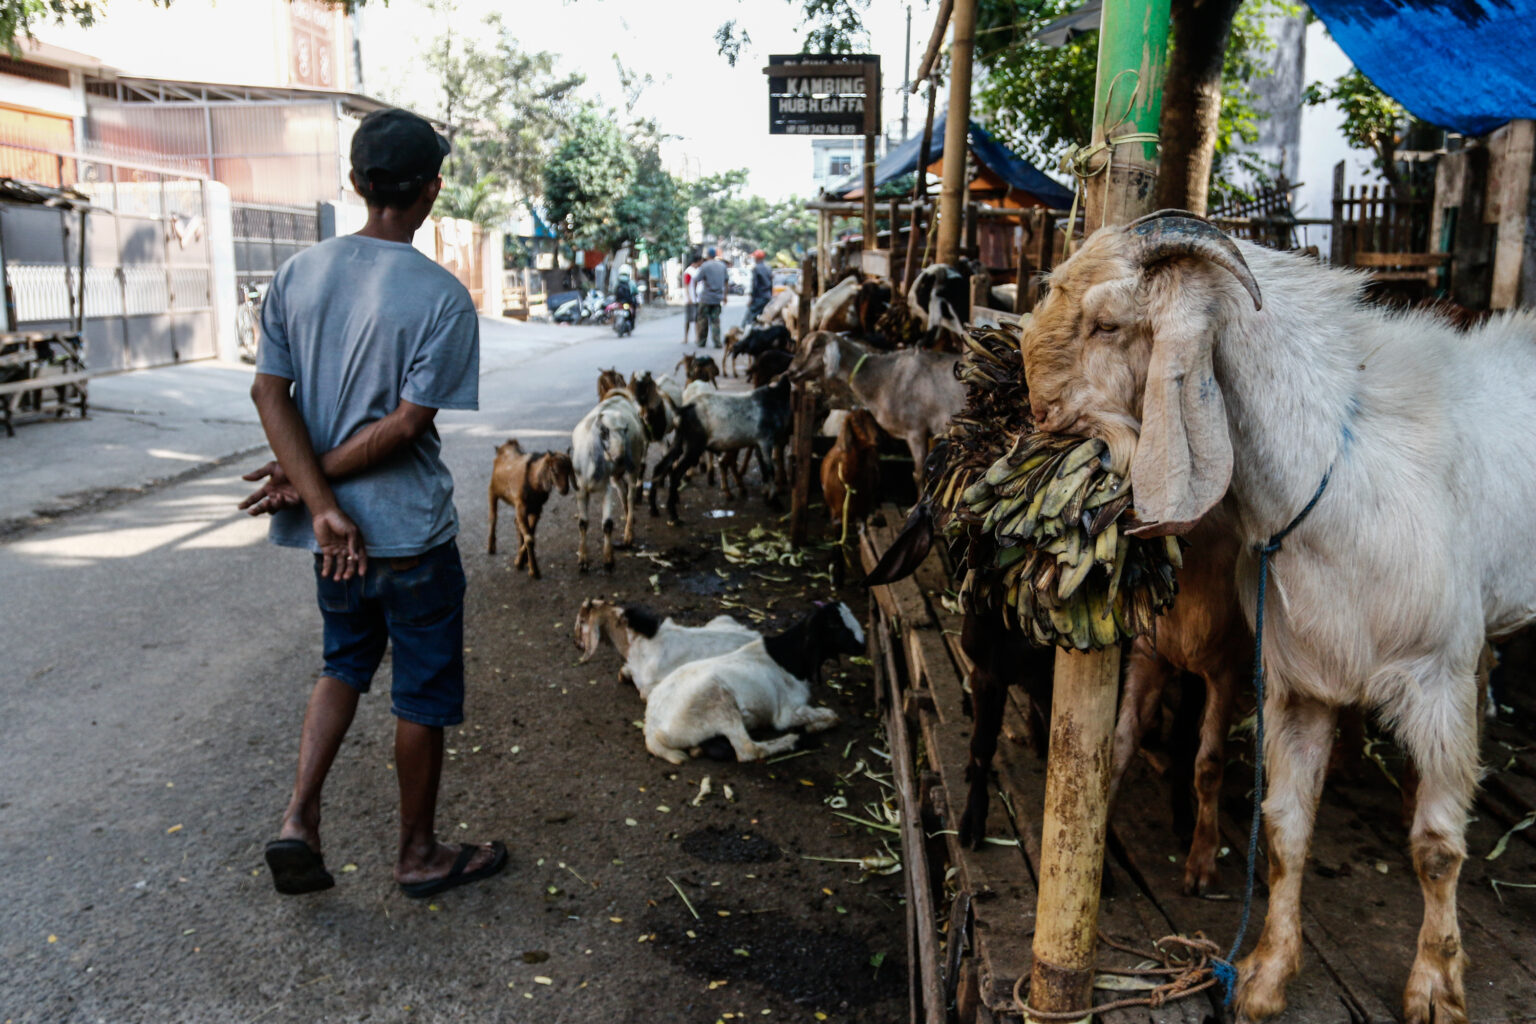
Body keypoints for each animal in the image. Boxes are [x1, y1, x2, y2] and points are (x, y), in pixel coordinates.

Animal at [488, 442, 574, 580]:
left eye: (569, 470)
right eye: (553, 470)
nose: (564, 490)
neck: (533, 482)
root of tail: (504, 446)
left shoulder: (537, 510)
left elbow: (531, 534)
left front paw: (522, 561)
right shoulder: (521, 507)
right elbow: (529, 537)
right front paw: (534, 571)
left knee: (516, 524)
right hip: (492, 491)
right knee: (493, 517)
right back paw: (491, 547)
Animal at [642, 604, 872, 764]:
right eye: (834, 625)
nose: (863, 646)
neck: (788, 658)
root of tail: (652, 729)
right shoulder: (786, 714)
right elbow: (833, 716)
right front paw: (812, 727)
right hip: (717, 700)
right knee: (748, 750)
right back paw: (793, 741)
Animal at [1019, 205, 1536, 1024]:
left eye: (1106, 323)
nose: (1038, 411)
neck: (1339, 472)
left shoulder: (1435, 681)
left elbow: (1437, 848)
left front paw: (1434, 985)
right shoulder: (1298, 687)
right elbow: (1286, 830)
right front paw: (1264, 976)